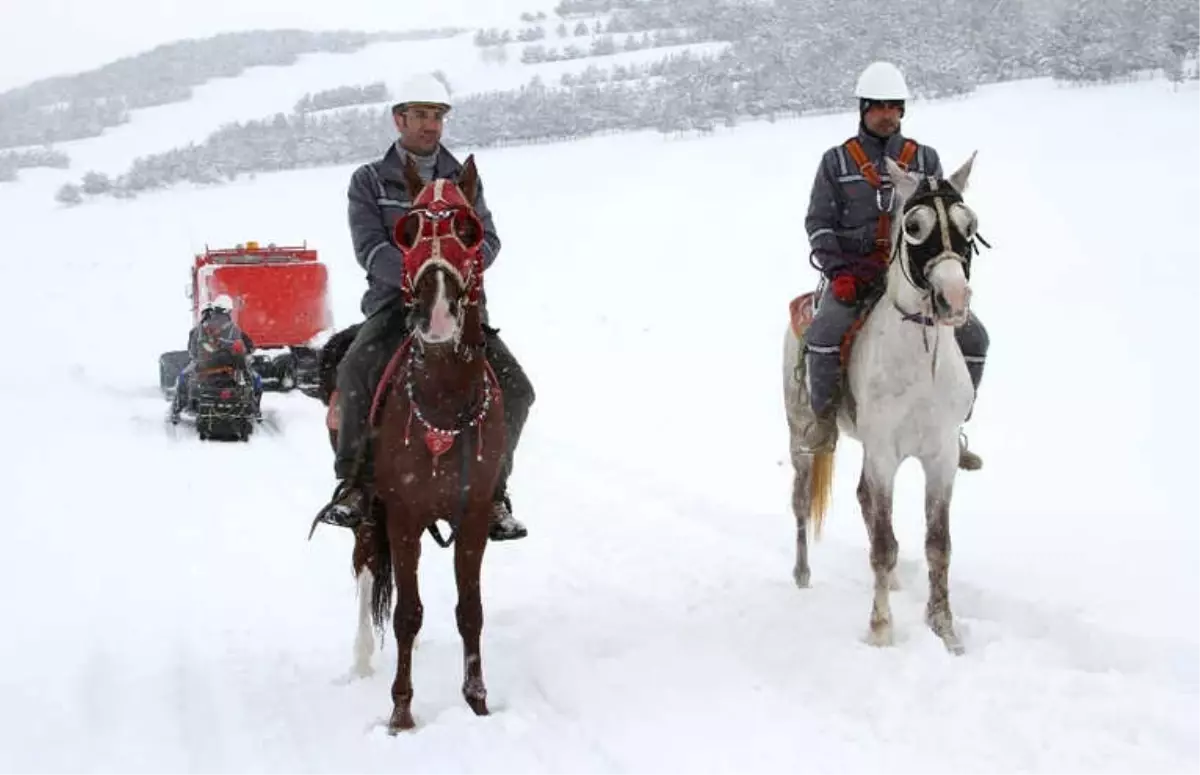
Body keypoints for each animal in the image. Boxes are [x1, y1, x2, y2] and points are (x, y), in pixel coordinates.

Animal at [312, 155, 504, 734]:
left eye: (468, 229)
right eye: (409, 231)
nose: (434, 312)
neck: (442, 398)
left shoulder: (473, 516)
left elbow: (470, 611)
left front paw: (477, 702)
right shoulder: (402, 514)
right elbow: (407, 614)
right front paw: (400, 711)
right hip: (368, 507)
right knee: (366, 567)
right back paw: (360, 661)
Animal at [782, 148, 979, 652]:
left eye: (969, 225)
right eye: (914, 226)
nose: (954, 298)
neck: (919, 357)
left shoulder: (941, 456)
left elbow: (938, 545)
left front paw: (945, 629)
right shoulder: (884, 454)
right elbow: (884, 544)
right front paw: (881, 631)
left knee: (862, 500)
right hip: (802, 437)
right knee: (800, 503)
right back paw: (802, 575)